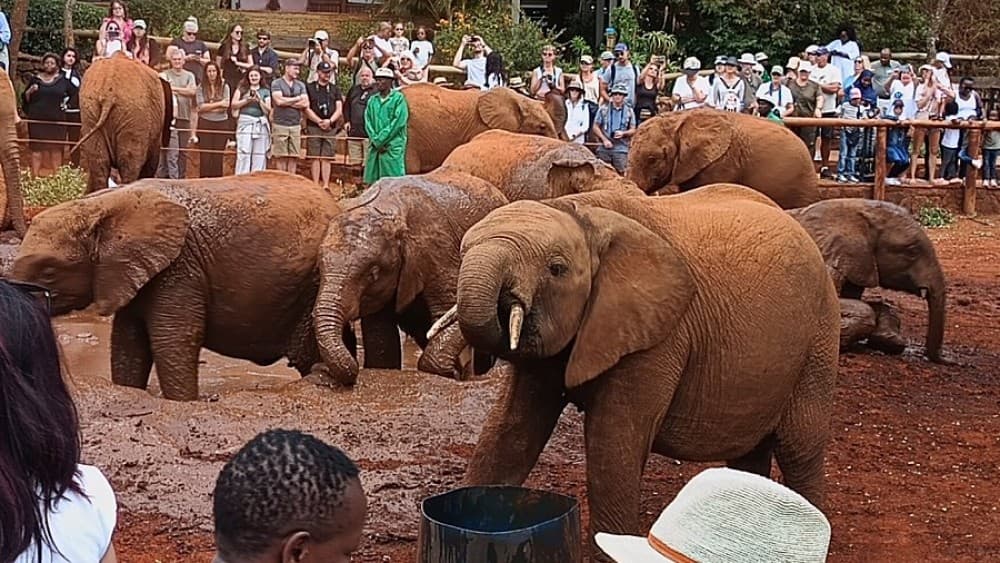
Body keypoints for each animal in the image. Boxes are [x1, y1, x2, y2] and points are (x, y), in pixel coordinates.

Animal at [11, 171, 342, 401]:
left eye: (49, 272)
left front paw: (183, 402)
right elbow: (128, 343)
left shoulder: (180, 266)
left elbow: (173, 339)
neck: (101, 204)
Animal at [313, 169, 509, 385]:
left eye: (373, 273)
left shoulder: (440, 251)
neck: (387, 208)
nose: (320, 370)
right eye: (319, 268)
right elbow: (380, 337)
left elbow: (446, 311)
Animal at [432, 184, 840, 555]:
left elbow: (613, 445)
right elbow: (509, 431)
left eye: (556, 269)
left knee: (799, 446)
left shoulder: (659, 335)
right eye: (462, 252)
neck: (582, 212)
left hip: (820, 338)